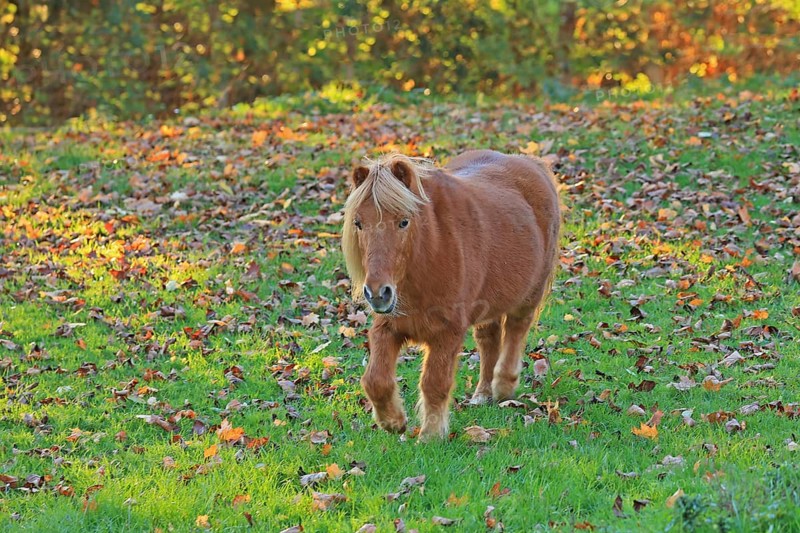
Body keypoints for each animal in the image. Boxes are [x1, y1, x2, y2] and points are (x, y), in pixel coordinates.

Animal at [341, 150, 561, 440]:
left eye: (403, 221)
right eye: (358, 223)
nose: (378, 293)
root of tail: (531, 163)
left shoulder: (448, 333)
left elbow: (434, 383)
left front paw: (431, 435)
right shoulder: (388, 327)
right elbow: (375, 380)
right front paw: (393, 422)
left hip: (529, 295)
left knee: (516, 330)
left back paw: (503, 386)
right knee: (489, 339)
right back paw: (482, 394)